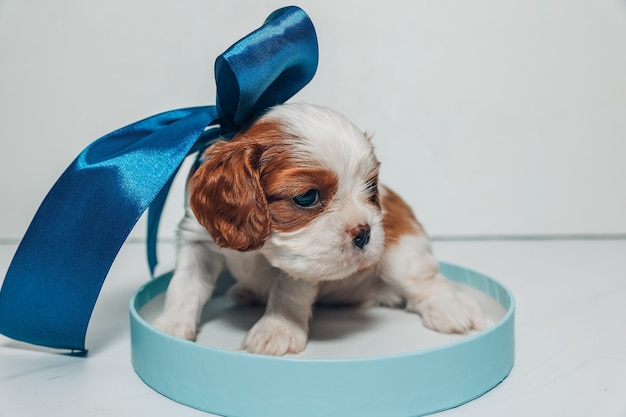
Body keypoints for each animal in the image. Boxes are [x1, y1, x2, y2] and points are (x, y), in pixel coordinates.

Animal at [154, 102, 486, 356]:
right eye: (306, 197)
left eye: (370, 188)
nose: (365, 232)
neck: (262, 248)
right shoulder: (197, 240)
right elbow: (185, 286)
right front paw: (171, 326)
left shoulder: (304, 263)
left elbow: (288, 292)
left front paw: (277, 331)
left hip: (403, 254)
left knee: (429, 283)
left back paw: (449, 311)